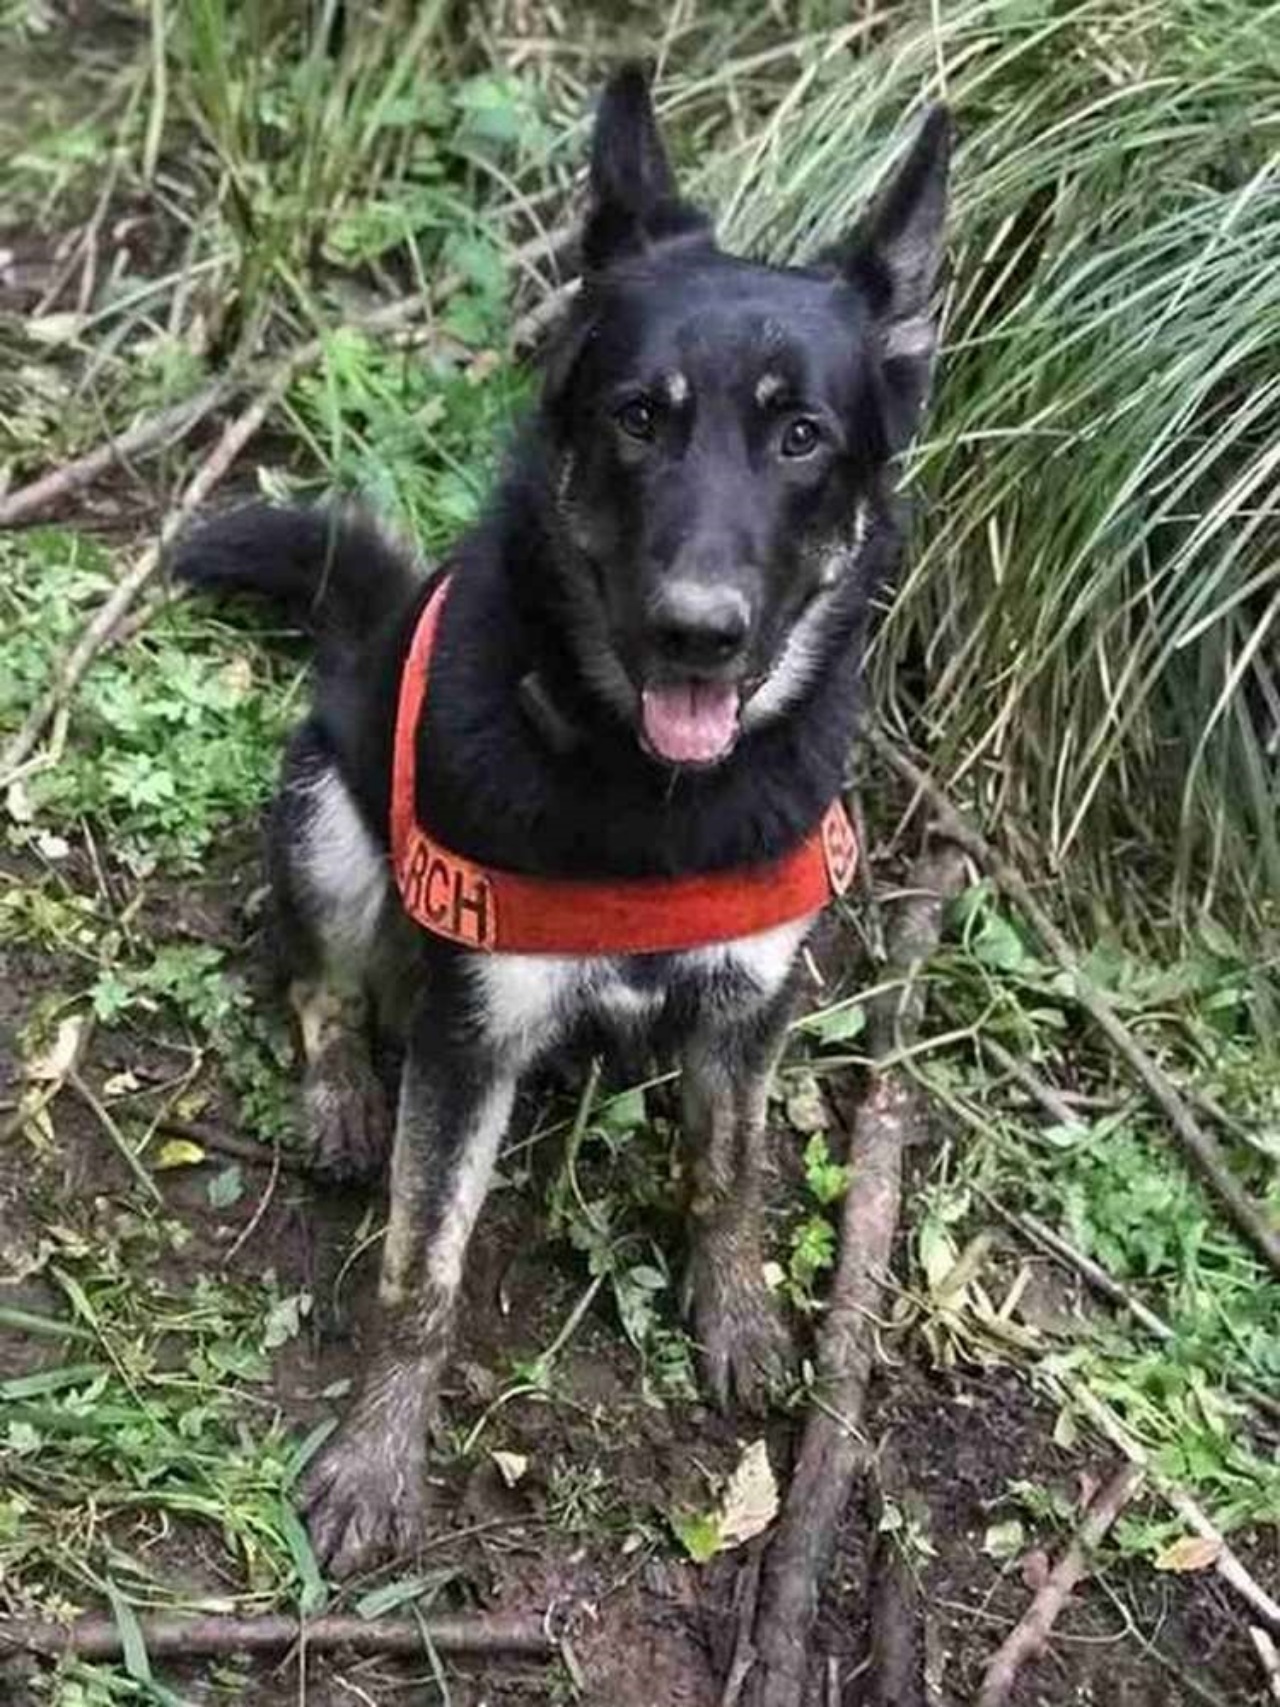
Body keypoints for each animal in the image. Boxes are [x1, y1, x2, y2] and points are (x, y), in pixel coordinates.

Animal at [173, 73, 955, 1577]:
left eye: (801, 437)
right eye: (639, 418)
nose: (698, 632)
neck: (649, 794)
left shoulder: (749, 1002)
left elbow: (729, 1174)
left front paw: (737, 1313)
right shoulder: (473, 1030)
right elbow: (422, 1268)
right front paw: (376, 1459)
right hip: (331, 824)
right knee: (315, 982)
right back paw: (342, 1092)